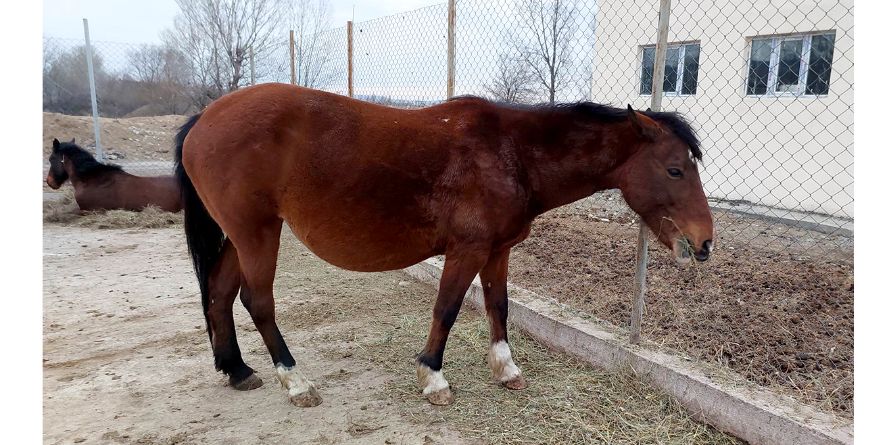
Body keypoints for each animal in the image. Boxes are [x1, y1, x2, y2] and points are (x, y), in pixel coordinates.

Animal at [173, 82, 716, 406]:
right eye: (674, 169)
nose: (705, 242)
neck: (511, 153)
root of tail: (204, 118)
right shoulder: (467, 250)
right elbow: (448, 308)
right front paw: (432, 377)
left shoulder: (498, 250)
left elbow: (498, 306)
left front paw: (506, 370)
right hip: (257, 233)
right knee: (257, 301)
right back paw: (296, 381)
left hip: (241, 236)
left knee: (220, 295)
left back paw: (237, 370)